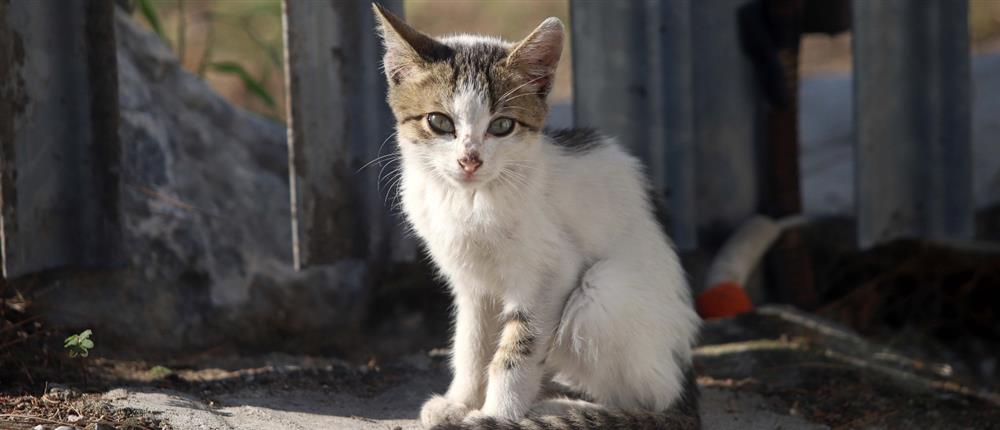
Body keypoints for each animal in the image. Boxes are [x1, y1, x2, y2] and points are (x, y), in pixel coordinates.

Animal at [376, 4, 704, 430]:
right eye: (439, 122)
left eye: (502, 125)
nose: (469, 160)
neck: (469, 200)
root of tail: (686, 381)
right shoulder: (471, 282)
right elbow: (470, 343)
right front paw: (460, 401)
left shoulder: (549, 274)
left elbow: (517, 350)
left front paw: (498, 415)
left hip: (601, 292)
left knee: (646, 399)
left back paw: (564, 409)